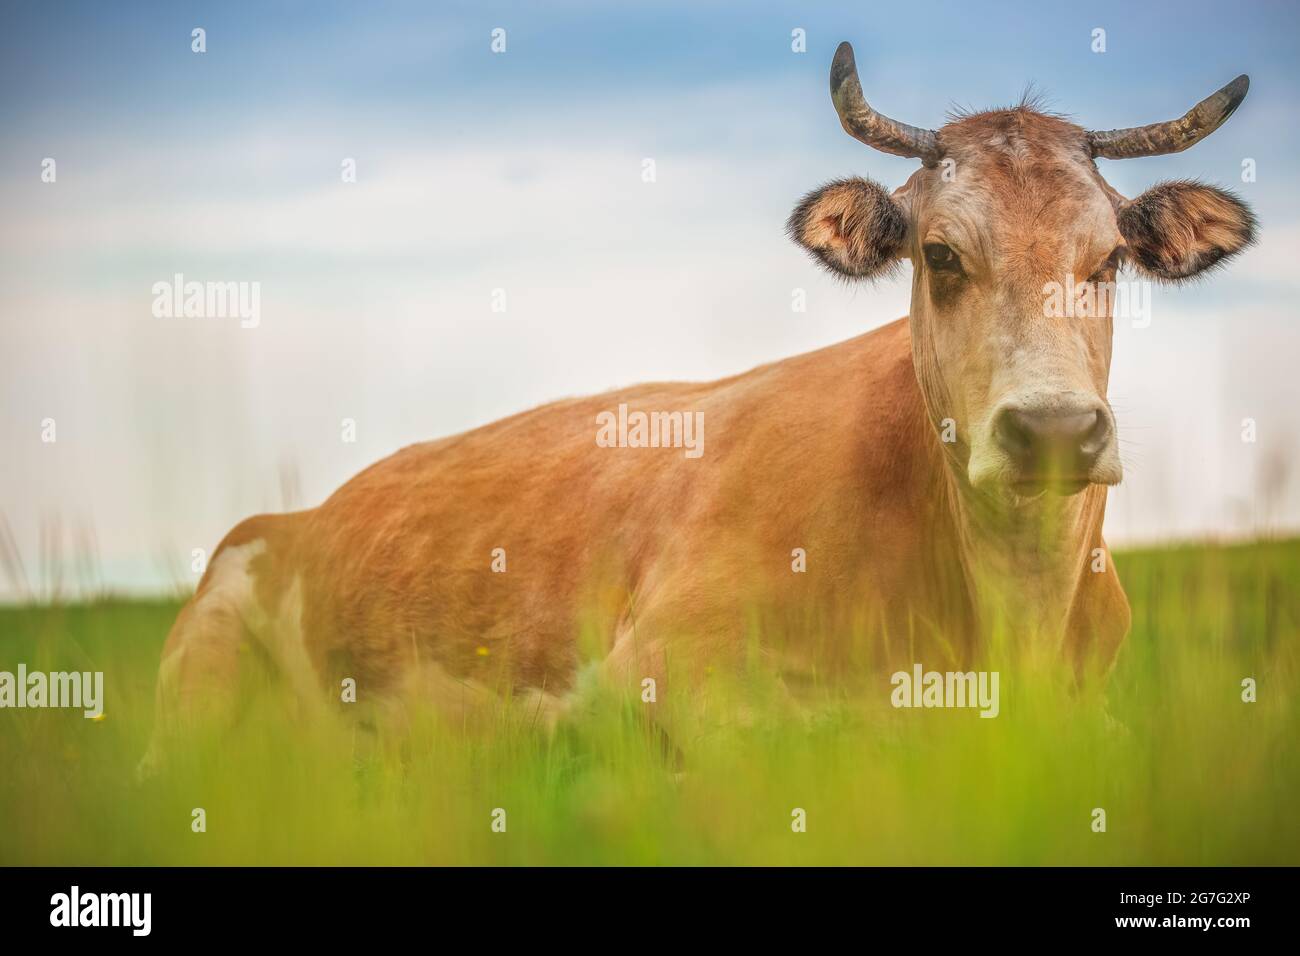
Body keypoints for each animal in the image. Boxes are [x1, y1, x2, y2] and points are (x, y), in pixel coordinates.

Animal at [139, 41, 1248, 770]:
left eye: (1108, 261)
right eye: (940, 255)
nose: (1054, 429)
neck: (1007, 604)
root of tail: (304, 512)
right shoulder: (664, 665)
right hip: (201, 673)